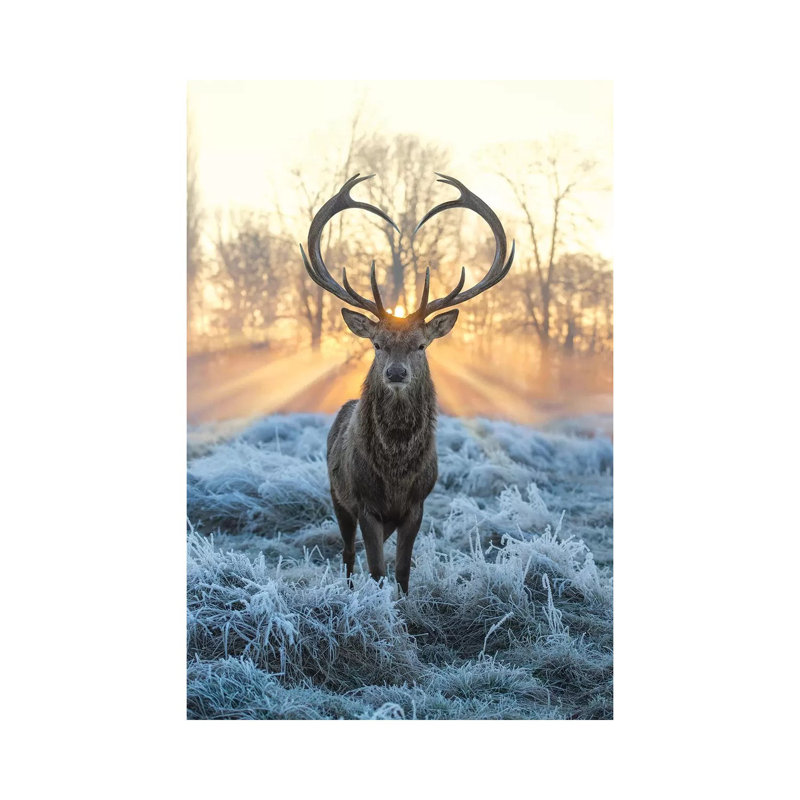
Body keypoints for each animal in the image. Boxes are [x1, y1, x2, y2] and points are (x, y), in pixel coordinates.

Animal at [299, 173, 514, 594]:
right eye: (377, 343)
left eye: (421, 345)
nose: (396, 373)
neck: (396, 474)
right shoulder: (364, 502)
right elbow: (377, 569)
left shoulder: (418, 504)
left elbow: (401, 571)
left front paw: (403, 604)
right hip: (335, 494)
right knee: (347, 553)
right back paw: (349, 590)